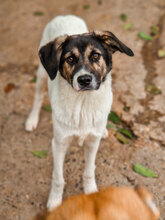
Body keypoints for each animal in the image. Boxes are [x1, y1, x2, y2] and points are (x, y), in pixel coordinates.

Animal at [25, 14, 134, 211]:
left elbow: (89, 171)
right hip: (42, 74)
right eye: (70, 59)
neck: (83, 103)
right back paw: (32, 120)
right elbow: (58, 177)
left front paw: (91, 192)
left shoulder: (92, 143)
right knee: (37, 97)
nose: (84, 80)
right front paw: (55, 201)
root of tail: (64, 16)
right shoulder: (59, 143)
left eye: (96, 55)